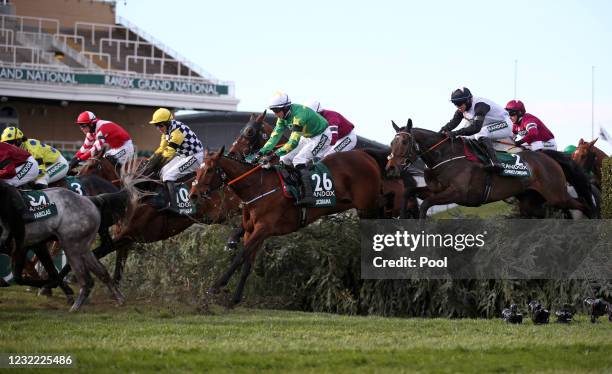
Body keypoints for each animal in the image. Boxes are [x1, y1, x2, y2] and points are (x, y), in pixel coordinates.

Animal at [189, 146, 384, 306]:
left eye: (209, 170)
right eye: (197, 170)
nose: (193, 194)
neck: (257, 188)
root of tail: (365, 154)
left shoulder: (263, 229)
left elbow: (240, 257)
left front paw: (216, 286)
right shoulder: (252, 231)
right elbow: (247, 264)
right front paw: (234, 299)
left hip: (368, 205)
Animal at [384, 120, 596, 219]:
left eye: (404, 142)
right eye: (392, 143)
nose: (391, 168)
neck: (445, 156)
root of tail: (547, 157)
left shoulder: (457, 193)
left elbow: (426, 204)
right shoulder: (435, 189)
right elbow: (409, 192)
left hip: (556, 194)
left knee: (583, 205)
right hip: (531, 201)